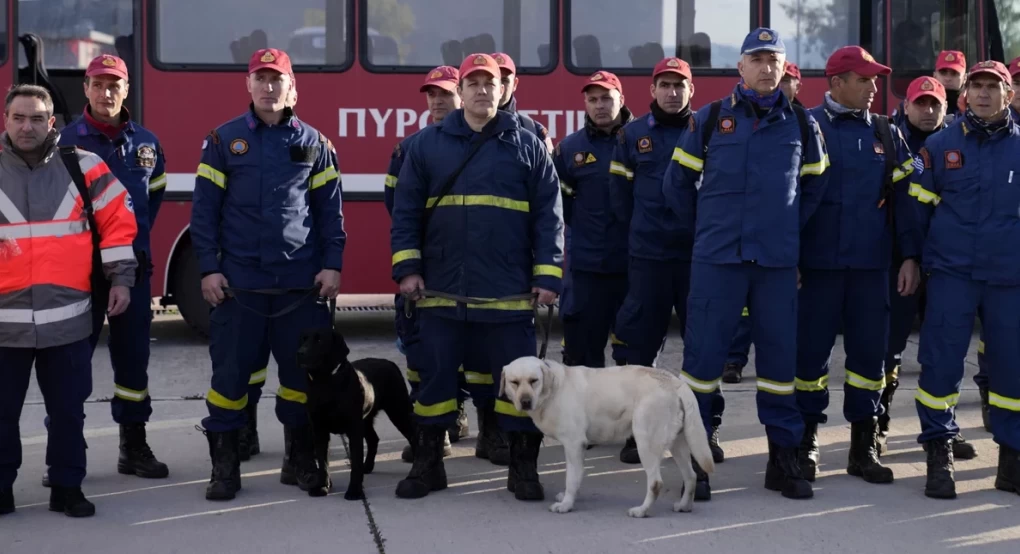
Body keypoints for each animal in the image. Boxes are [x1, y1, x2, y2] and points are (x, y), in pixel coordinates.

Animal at [297, 326, 416, 499]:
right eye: (304, 339)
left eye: (319, 340)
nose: (299, 353)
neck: (326, 384)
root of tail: (389, 363)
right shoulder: (319, 429)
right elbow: (323, 463)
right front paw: (321, 487)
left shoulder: (353, 429)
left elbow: (356, 463)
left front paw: (354, 491)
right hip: (366, 420)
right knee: (373, 439)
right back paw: (368, 466)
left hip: (398, 411)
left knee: (413, 436)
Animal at [497, 357, 714, 518]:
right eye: (514, 382)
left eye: (534, 381)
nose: (525, 401)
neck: (553, 389)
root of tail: (676, 382)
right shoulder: (577, 448)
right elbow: (577, 475)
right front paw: (568, 497)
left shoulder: (573, 444)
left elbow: (571, 477)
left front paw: (566, 504)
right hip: (678, 444)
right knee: (691, 476)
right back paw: (685, 505)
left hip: (646, 442)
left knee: (655, 483)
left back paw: (641, 511)